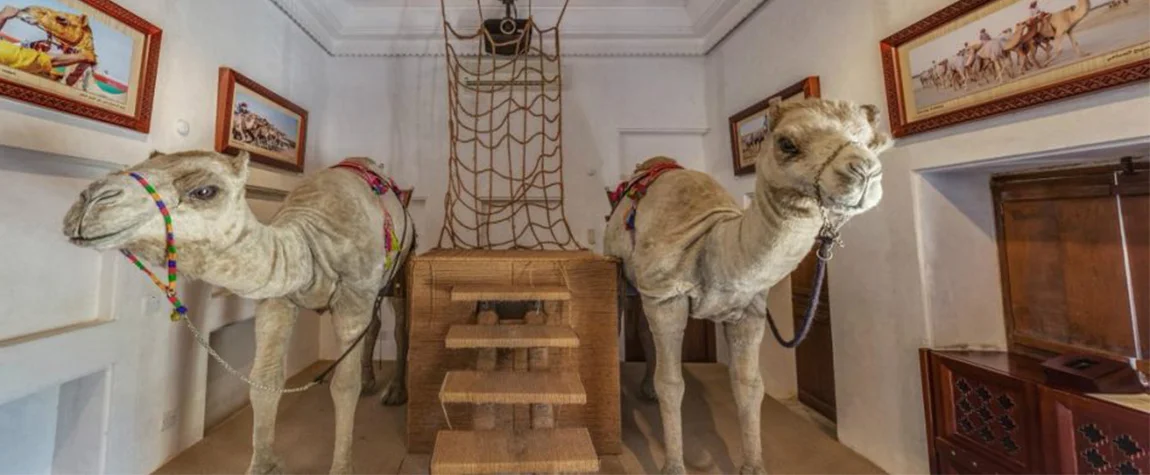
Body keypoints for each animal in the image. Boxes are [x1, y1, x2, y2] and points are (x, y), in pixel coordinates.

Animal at [61, 150, 415, 474]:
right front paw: (264, 465)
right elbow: (264, 380)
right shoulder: (277, 300)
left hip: (400, 267)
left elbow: (343, 386)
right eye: (137, 165)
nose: (90, 200)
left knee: (399, 325)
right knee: (376, 324)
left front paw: (342, 468)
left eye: (205, 191)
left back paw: (395, 392)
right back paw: (371, 382)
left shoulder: (355, 295)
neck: (310, 245)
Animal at [605, 98, 891, 474]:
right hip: (621, 272)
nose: (865, 172)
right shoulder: (666, 298)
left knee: (642, 330)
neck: (712, 245)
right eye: (787, 143)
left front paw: (753, 466)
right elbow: (672, 385)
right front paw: (674, 466)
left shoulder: (750, 309)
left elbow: (750, 386)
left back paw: (644, 391)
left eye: (874, 143)